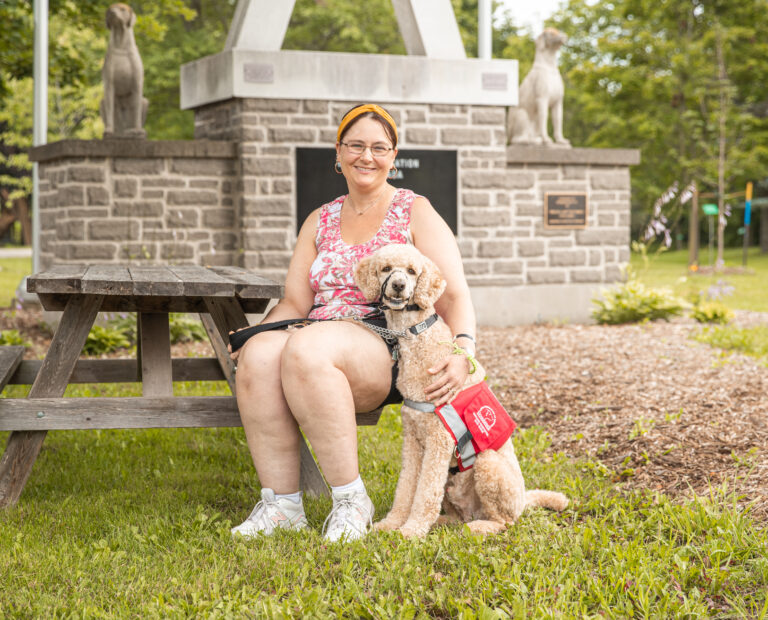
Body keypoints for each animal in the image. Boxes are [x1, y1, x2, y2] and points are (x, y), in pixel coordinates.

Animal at [100, 3, 148, 139]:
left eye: (122, 9)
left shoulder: (137, 84)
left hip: (145, 102)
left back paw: (132, 131)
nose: (111, 12)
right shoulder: (109, 84)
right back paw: (117, 132)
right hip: (103, 103)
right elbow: (110, 107)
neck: (120, 44)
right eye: (109, 10)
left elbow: (137, 110)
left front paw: (138, 130)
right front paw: (109, 130)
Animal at [356, 243, 568, 536]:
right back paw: (444, 523)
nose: (398, 285)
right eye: (386, 268)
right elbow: (407, 487)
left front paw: (412, 531)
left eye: (412, 271)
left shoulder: (439, 439)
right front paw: (392, 523)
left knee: (505, 522)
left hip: (488, 464)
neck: (416, 335)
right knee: (458, 515)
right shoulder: (412, 439)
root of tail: (524, 500)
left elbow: (425, 491)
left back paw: (477, 527)